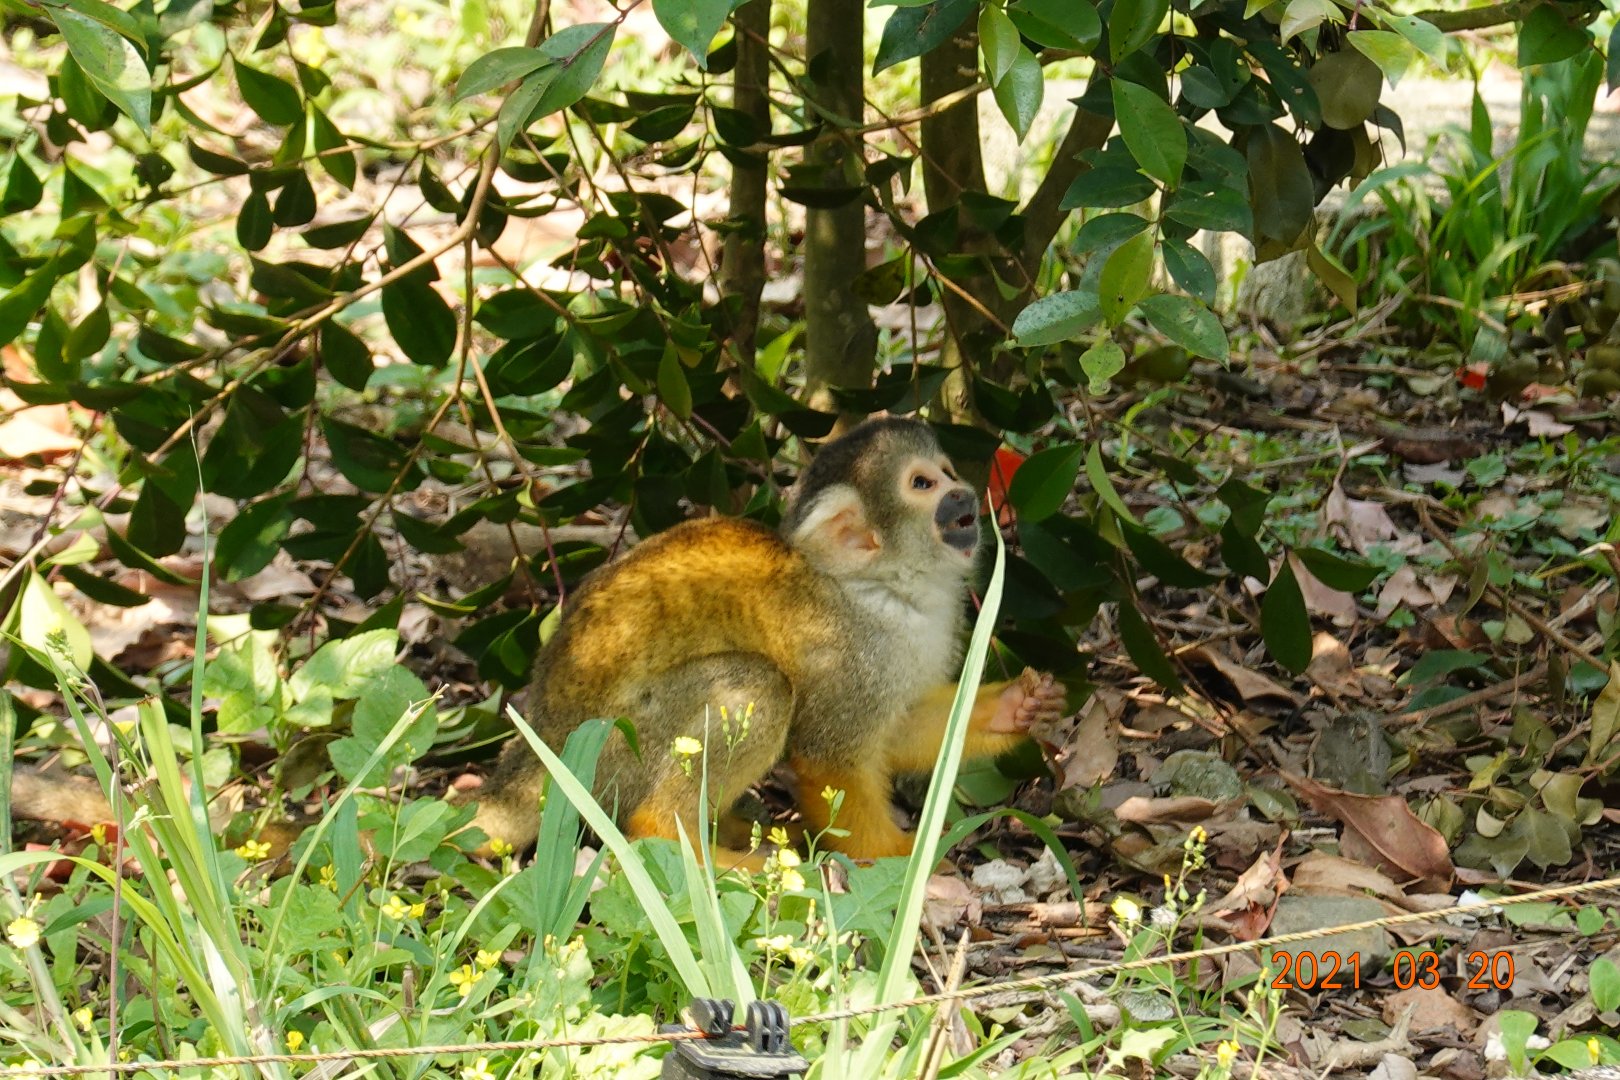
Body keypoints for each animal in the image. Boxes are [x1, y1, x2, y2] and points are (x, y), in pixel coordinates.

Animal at [460, 416, 1068, 869]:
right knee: (758, 685)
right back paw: (688, 847)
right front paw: (899, 858)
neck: (880, 586)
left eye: (944, 472)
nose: (962, 492)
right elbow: (830, 755)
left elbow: (899, 730)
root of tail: (540, 741)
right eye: (923, 485)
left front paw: (1017, 707)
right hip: (611, 747)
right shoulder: (846, 650)